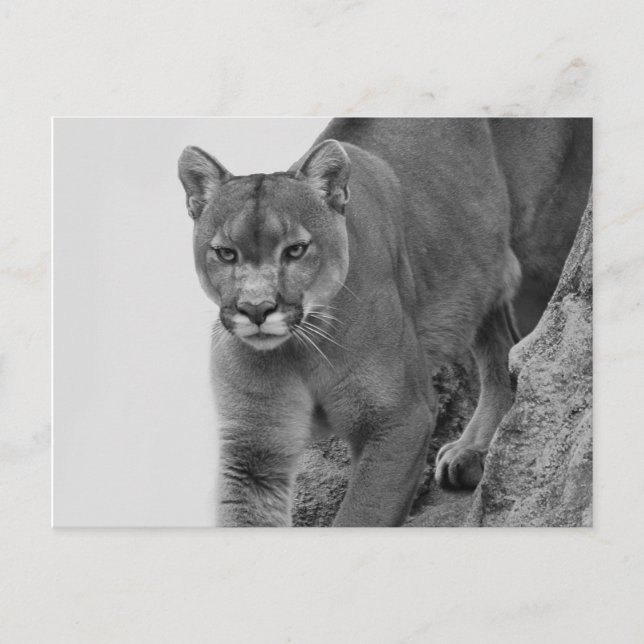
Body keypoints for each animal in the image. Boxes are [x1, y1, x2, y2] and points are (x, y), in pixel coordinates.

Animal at [178, 118, 592, 527]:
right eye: (225, 253)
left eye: (295, 250)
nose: (256, 309)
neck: (299, 350)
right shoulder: (254, 449)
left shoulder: (400, 418)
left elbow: (362, 515)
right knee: (499, 354)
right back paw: (473, 451)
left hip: (548, 251)